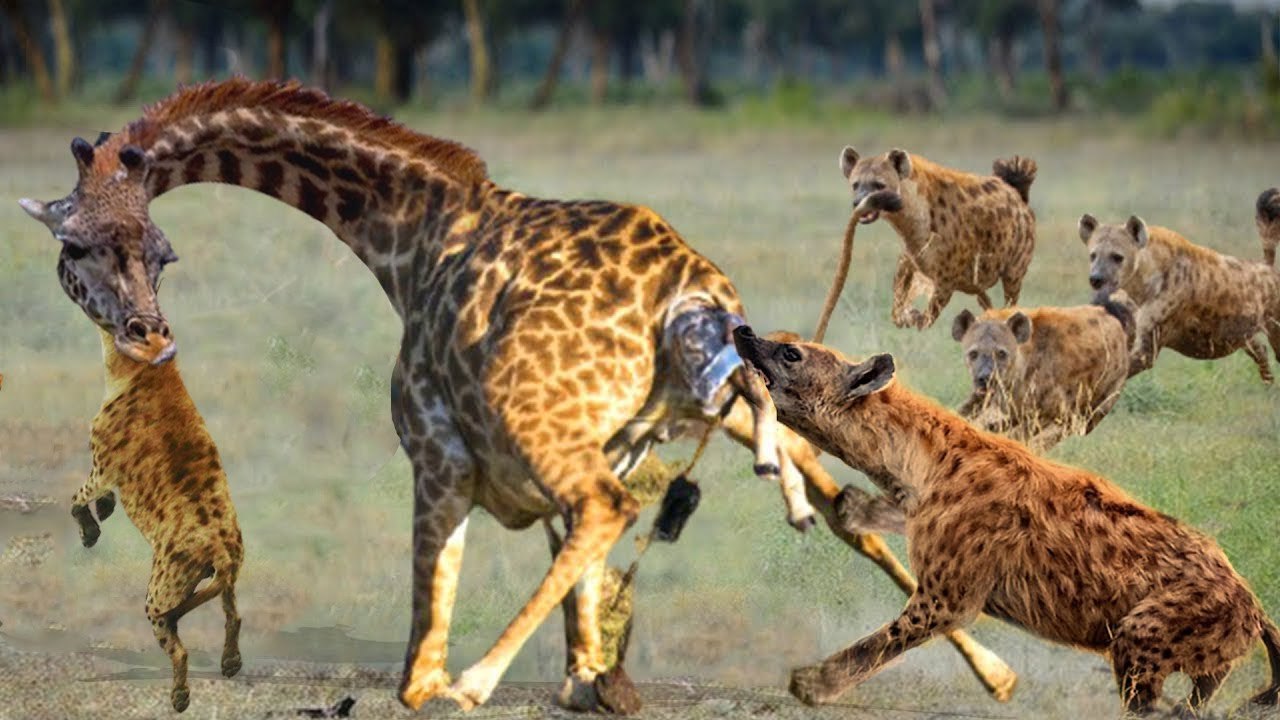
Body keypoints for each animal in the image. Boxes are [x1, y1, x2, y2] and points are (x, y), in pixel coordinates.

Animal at [16, 78, 1014, 710]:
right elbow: (576, 583)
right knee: (833, 499)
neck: (405, 234)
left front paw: (486, 682)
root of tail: (692, 293)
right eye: (89, 246)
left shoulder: (439, 453)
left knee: (617, 510)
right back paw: (992, 674)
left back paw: (475, 683)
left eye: (157, 250)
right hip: (728, 396)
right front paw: (592, 681)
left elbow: (426, 633)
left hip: (551, 424)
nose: (147, 336)